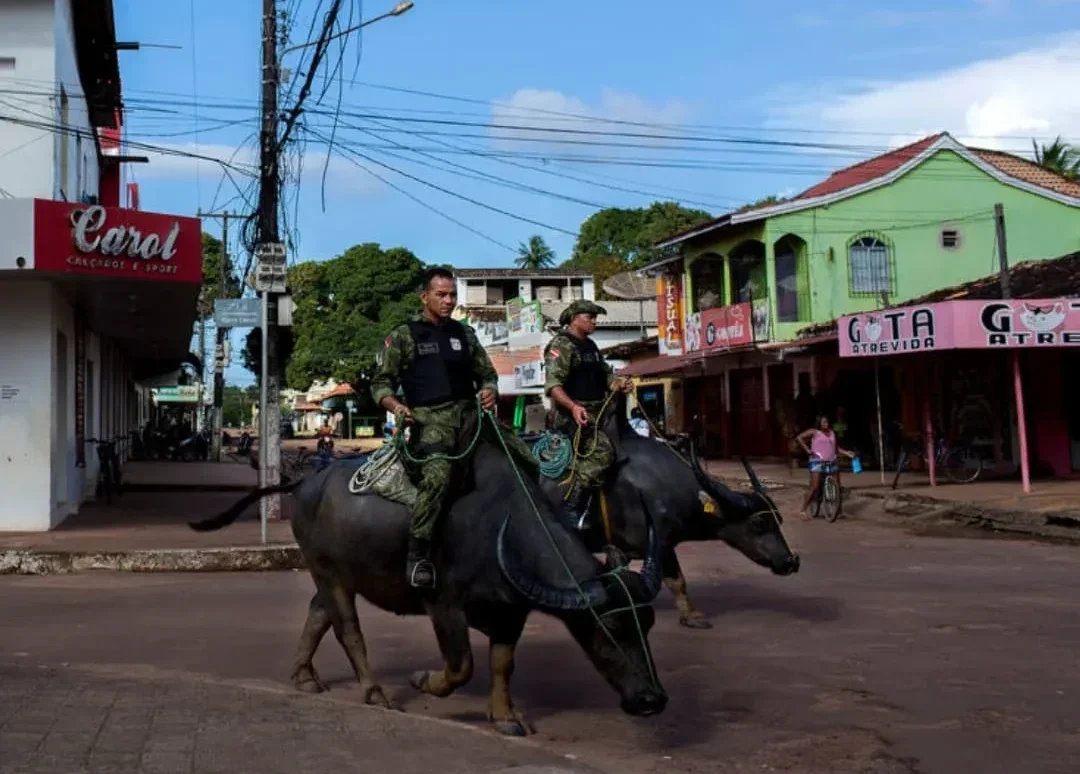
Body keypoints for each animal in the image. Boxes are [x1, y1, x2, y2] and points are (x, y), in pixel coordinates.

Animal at [191, 431, 669, 734]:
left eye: (647, 624)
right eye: (611, 628)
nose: (651, 700)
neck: (497, 526)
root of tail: (304, 484)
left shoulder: (511, 612)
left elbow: (502, 664)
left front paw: (506, 717)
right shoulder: (443, 606)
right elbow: (461, 666)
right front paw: (423, 681)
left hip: (334, 573)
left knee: (316, 614)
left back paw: (304, 677)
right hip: (328, 572)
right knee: (348, 629)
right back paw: (374, 692)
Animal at [533, 410, 799, 626]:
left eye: (778, 521)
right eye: (759, 524)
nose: (789, 562)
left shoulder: (626, 549)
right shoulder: (659, 542)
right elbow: (676, 580)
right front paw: (692, 617)